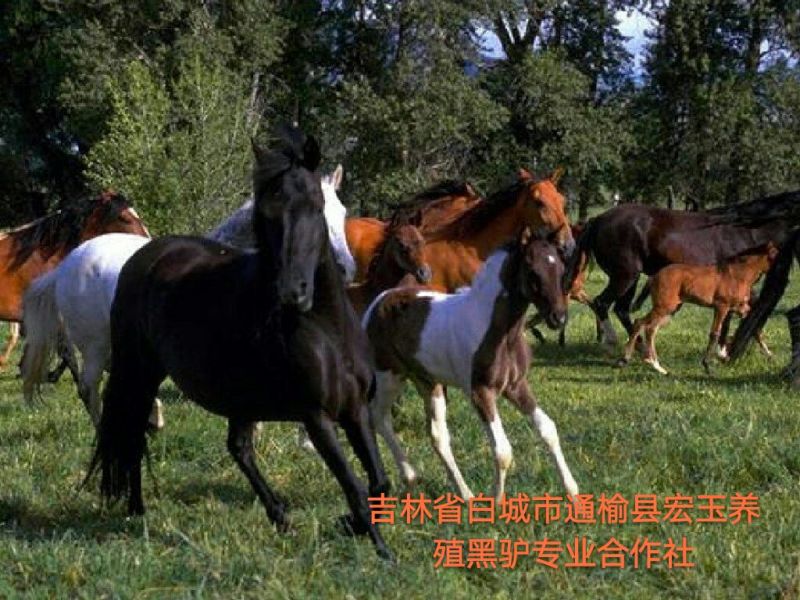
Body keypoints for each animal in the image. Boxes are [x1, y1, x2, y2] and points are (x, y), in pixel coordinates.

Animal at [84, 126, 393, 560]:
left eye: (320, 207)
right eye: (266, 215)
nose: (293, 292)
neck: (326, 329)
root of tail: (144, 256)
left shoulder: (355, 409)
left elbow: (379, 483)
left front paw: (351, 527)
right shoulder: (316, 417)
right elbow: (354, 487)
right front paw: (379, 547)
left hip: (238, 397)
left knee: (238, 448)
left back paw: (280, 517)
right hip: (140, 372)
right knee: (133, 431)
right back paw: (136, 510)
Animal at [362, 234, 579, 502]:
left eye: (560, 269)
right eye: (532, 271)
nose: (558, 317)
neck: (498, 331)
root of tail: (378, 301)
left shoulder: (516, 386)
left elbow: (548, 429)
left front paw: (573, 493)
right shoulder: (480, 392)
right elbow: (502, 451)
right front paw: (497, 503)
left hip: (428, 382)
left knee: (438, 436)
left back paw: (465, 495)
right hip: (388, 376)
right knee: (378, 417)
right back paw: (409, 476)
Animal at [564, 194, 797, 349]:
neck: (746, 233)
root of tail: (598, 220)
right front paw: (727, 351)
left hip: (630, 278)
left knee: (620, 309)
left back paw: (638, 345)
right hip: (625, 275)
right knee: (601, 303)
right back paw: (617, 342)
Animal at [618, 244, 778, 375]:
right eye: (775, 255)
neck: (738, 275)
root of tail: (654, 276)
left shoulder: (740, 309)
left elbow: (753, 326)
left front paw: (769, 355)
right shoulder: (722, 307)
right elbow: (715, 333)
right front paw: (707, 366)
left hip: (671, 309)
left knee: (650, 328)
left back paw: (656, 366)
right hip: (664, 307)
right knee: (642, 323)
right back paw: (628, 360)